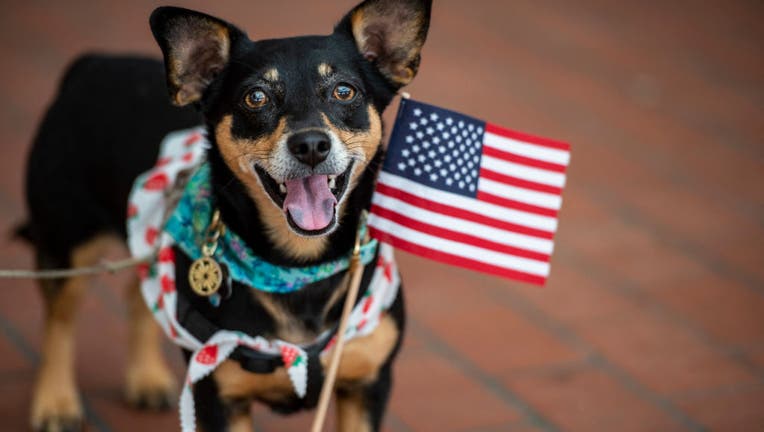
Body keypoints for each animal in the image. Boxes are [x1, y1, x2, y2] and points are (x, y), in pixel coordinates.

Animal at [17, 1, 432, 430]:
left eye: (344, 91)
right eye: (256, 97)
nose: (311, 144)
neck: (297, 267)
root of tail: (92, 62)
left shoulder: (367, 386)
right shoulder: (218, 397)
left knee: (137, 293)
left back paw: (146, 377)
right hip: (66, 245)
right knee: (59, 321)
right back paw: (55, 402)